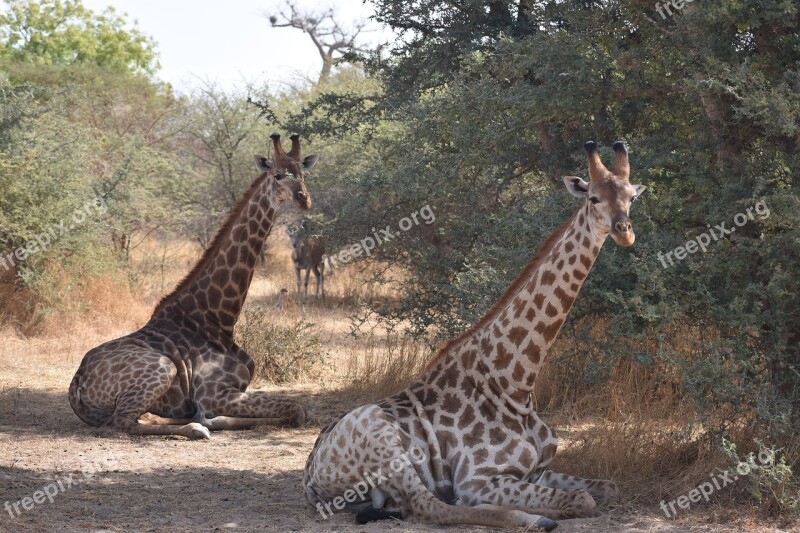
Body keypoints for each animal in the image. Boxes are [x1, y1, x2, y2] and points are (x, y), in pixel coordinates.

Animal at [69, 132, 318, 436]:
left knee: (144, 417)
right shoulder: (214, 393)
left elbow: (295, 408)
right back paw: (195, 428)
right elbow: (297, 409)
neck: (218, 319)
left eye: (303, 173)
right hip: (164, 367)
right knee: (123, 422)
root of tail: (76, 384)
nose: (304, 199)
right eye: (278, 175)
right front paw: (205, 420)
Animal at [304, 141, 648, 528]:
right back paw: (534, 519)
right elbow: (583, 500)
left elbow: (608, 488)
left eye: (631, 197)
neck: (516, 384)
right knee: (431, 506)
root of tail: (310, 476)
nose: (624, 231)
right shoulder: (477, 478)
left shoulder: (540, 471)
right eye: (593, 198)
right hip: (381, 438)